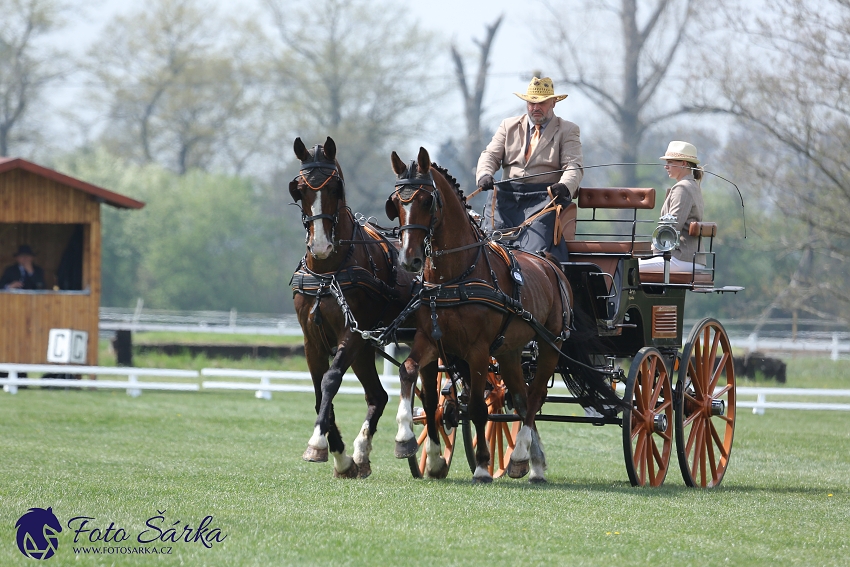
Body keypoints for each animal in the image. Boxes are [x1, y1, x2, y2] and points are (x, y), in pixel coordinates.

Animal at [288, 138, 414, 480]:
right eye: (299, 189)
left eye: (336, 188)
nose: (320, 246)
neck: (328, 272)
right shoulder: (312, 339)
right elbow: (320, 391)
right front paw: (341, 457)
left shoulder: (353, 333)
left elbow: (331, 380)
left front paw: (318, 444)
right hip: (366, 349)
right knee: (378, 395)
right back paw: (361, 453)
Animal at [382, 148, 616, 484]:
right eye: (396, 202)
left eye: (427, 201)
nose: (409, 259)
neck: (454, 278)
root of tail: (551, 263)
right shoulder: (429, 341)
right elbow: (417, 387)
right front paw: (420, 449)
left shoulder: (478, 351)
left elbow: (479, 408)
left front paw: (481, 466)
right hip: (510, 351)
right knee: (521, 398)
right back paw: (533, 461)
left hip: (550, 346)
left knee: (534, 398)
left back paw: (519, 456)